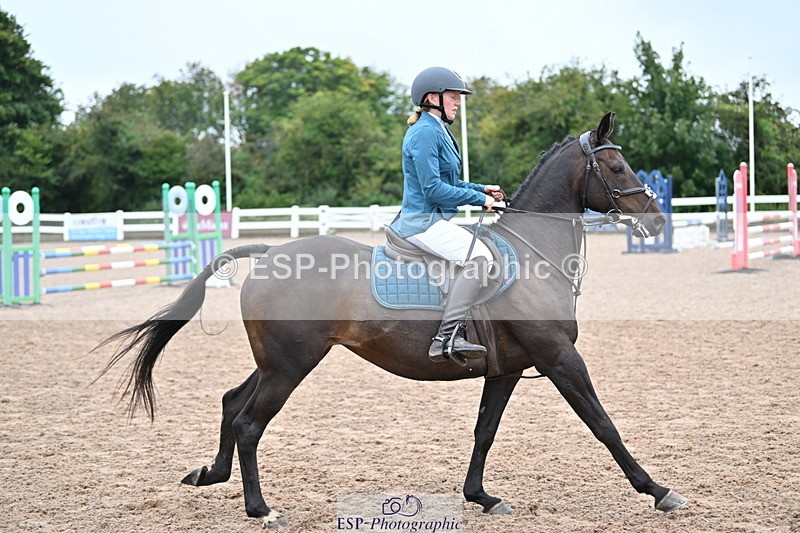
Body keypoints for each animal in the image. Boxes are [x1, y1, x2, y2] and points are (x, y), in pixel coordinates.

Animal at [96, 112, 687, 528]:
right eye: (617, 168)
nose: (658, 220)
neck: (531, 255)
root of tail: (271, 254)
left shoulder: (508, 368)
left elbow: (484, 431)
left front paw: (480, 497)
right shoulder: (560, 357)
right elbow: (604, 425)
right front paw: (658, 491)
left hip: (276, 362)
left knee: (230, 403)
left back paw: (209, 475)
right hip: (290, 366)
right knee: (248, 422)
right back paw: (261, 508)